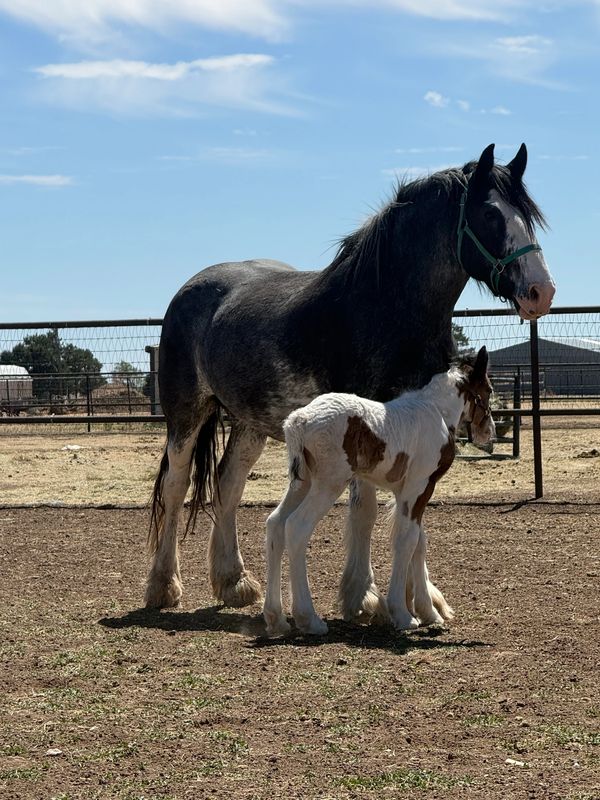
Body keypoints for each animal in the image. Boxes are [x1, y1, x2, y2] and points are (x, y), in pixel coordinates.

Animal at [263, 346, 495, 636]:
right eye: (488, 389)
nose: (490, 432)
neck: (436, 413)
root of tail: (299, 420)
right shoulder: (420, 486)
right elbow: (407, 541)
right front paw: (404, 614)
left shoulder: (407, 492)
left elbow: (419, 541)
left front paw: (428, 611)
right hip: (328, 484)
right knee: (296, 527)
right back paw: (309, 619)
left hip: (301, 483)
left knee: (275, 524)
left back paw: (276, 618)